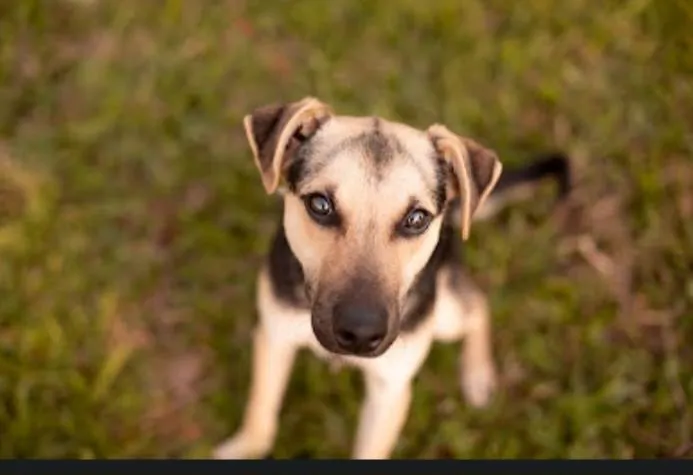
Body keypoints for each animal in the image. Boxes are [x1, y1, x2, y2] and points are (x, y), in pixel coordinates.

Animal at [214, 97, 572, 462]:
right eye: (320, 205)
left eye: (416, 219)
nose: (360, 333)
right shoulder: (274, 337)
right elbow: (260, 411)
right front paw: (244, 446)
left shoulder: (391, 387)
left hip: (444, 313)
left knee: (477, 306)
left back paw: (477, 373)